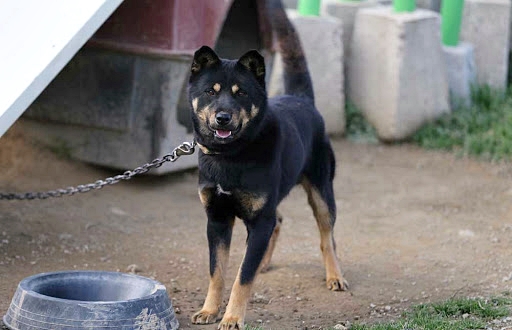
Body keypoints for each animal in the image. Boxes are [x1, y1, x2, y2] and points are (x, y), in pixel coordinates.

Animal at [187, 0, 348, 328]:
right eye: (210, 91)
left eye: (242, 93)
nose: (223, 118)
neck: (231, 154)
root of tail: (303, 99)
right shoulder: (217, 220)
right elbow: (217, 272)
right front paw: (209, 310)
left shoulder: (259, 219)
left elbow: (242, 277)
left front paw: (232, 317)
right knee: (280, 221)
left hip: (322, 192)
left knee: (328, 237)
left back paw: (334, 275)